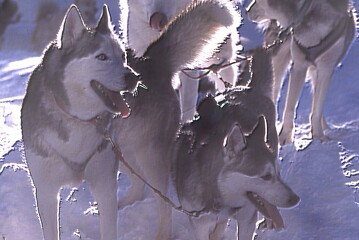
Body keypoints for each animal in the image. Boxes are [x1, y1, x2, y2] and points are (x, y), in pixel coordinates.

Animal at [22, 5, 138, 240]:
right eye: (101, 57)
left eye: (122, 56)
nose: (134, 78)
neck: (78, 119)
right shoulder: (46, 192)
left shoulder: (105, 186)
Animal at [174, 47, 300, 239]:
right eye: (266, 176)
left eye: (277, 173)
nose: (295, 199)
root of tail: (247, 87)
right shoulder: (199, 224)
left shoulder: (247, 218)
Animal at [248, 0, 358, 144]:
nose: (247, 11)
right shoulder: (299, 66)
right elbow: (289, 107)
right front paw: (284, 137)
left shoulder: (326, 69)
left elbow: (317, 109)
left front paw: (318, 135)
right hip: (278, 61)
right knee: (273, 93)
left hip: (316, 70)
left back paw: (324, 127)